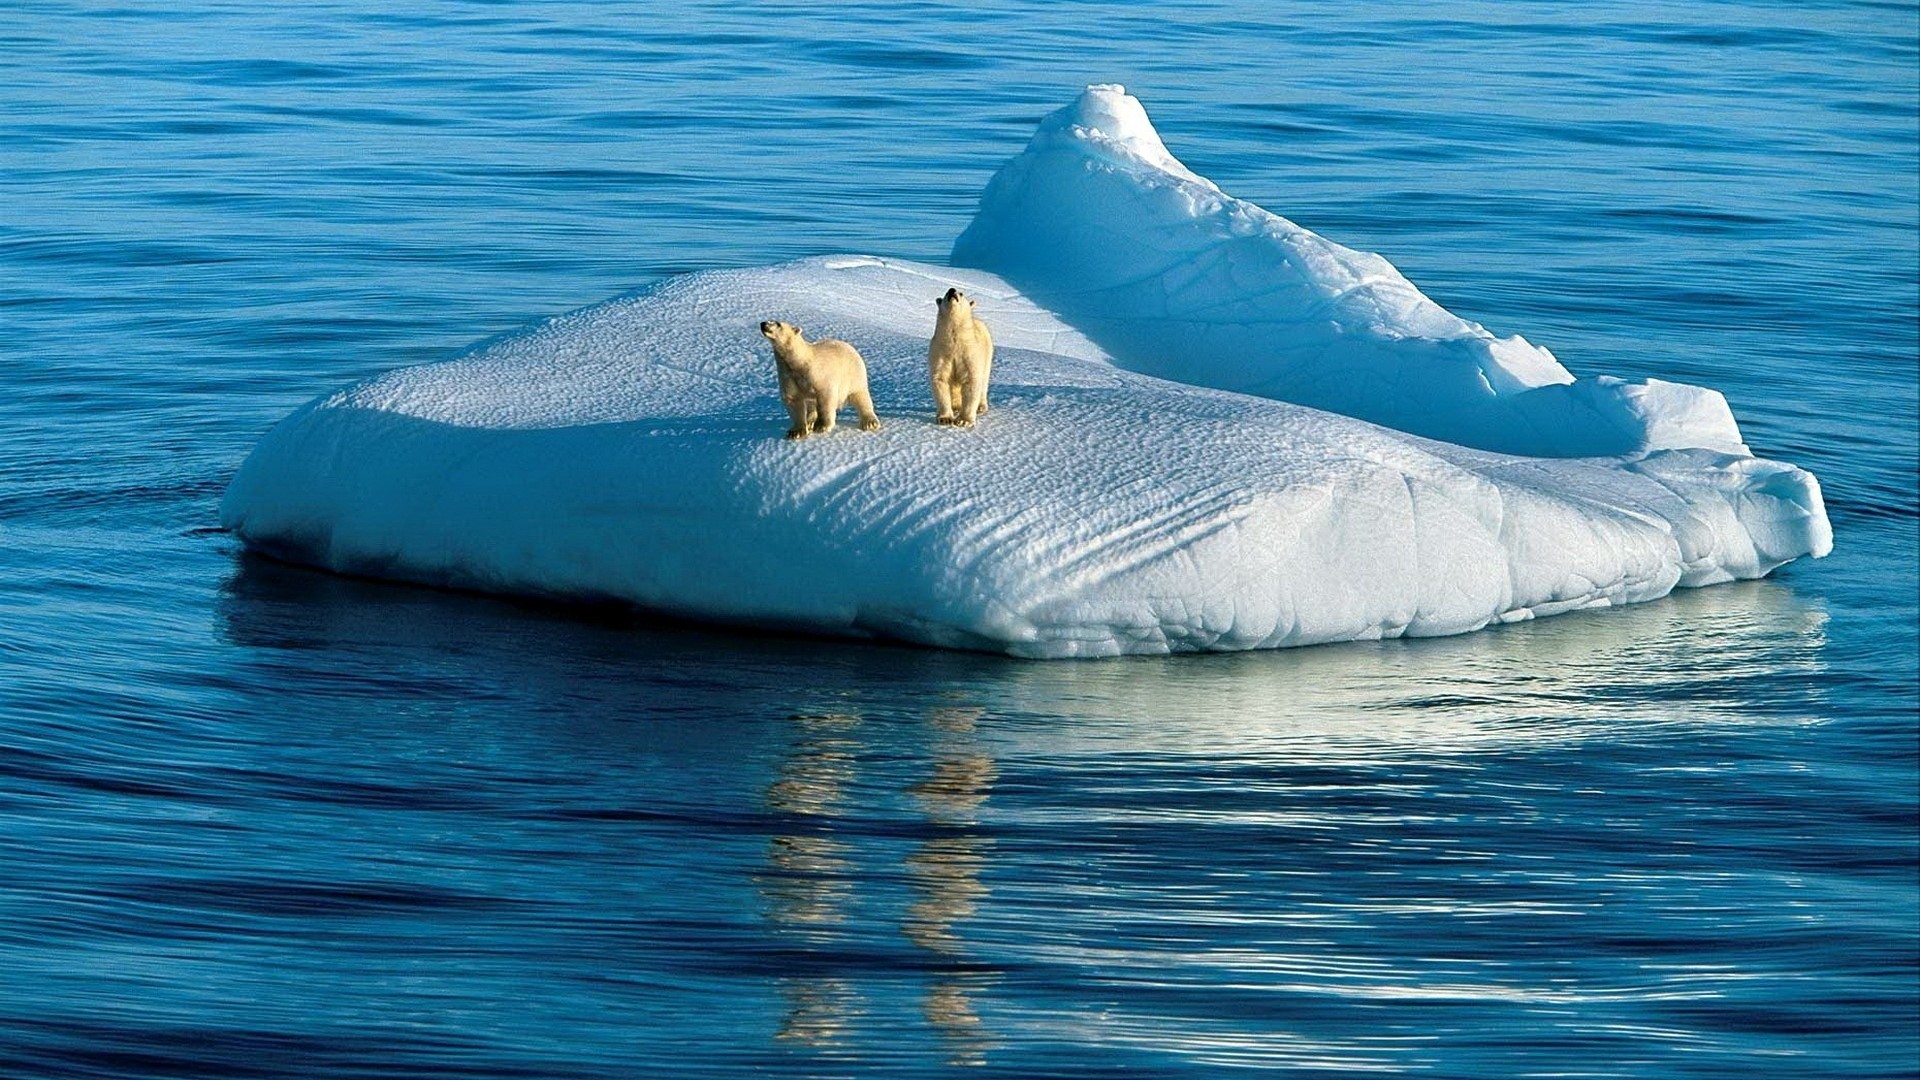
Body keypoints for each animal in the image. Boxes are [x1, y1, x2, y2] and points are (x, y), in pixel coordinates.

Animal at [929, 286, 993, 428]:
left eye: (961, 293)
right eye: (946, 293)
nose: (952, 290)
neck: (955, 343)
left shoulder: (969, 353)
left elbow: (971, 381)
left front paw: (964, 420)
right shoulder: (940, 352)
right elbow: (941, 379)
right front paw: (945, 418)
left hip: (988, 354)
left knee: (984, 380)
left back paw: (981, 406)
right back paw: (956, 407)